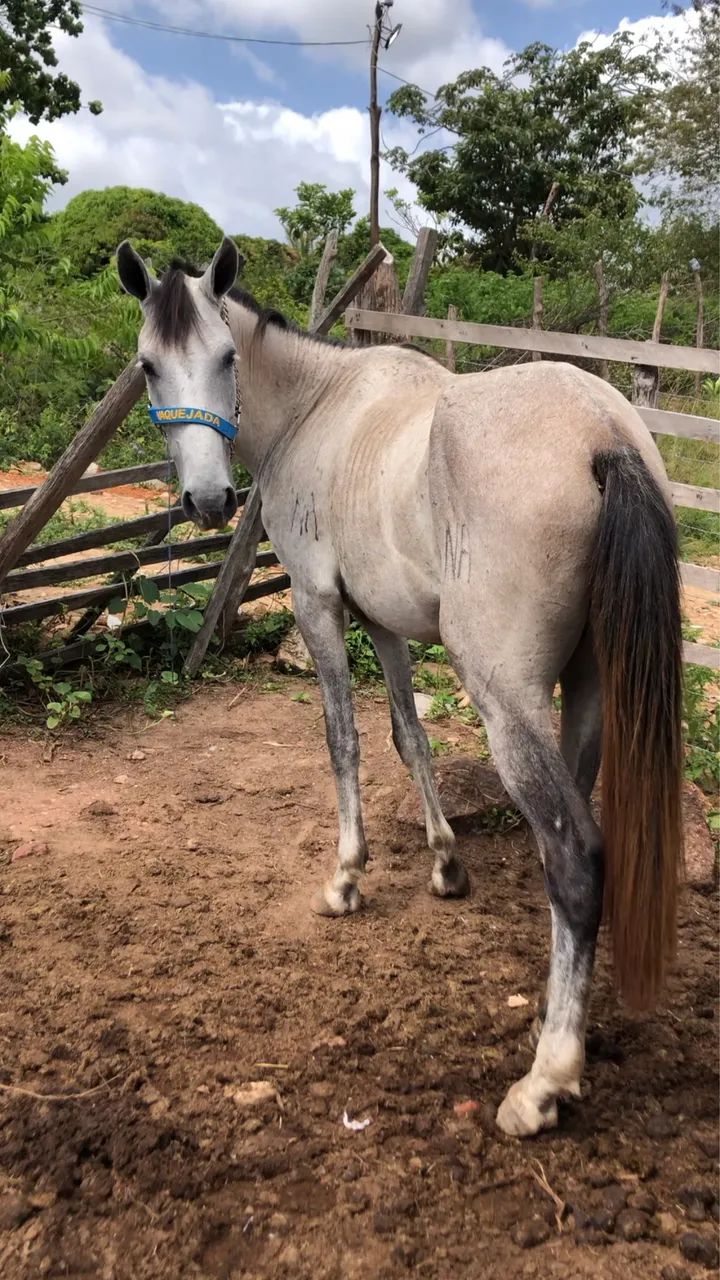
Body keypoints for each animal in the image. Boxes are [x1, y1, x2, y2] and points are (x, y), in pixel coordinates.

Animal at [117, 236, 683, 1138]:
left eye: (226, 358)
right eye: (149, 366)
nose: (208, 499)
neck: (315, 410)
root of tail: (603, 436)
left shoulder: (318, 604)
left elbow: (343, 738)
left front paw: (347, 878)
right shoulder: (379, 621)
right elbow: (407, 736)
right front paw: (445, 864)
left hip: (506, 699)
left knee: (574, 854)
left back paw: (545, 1080)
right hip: (588, 691)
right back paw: (554, 1019)